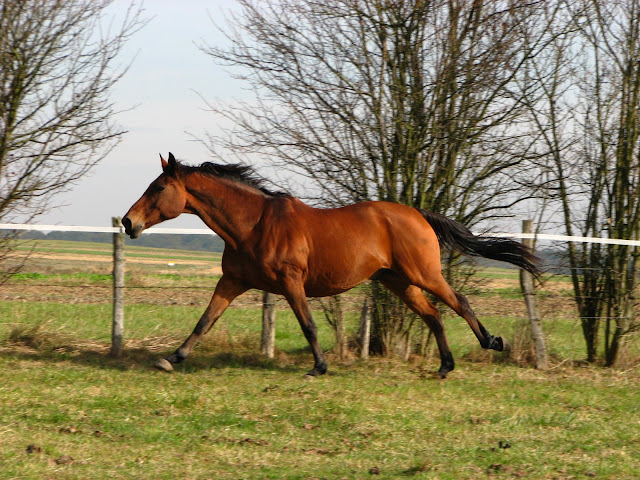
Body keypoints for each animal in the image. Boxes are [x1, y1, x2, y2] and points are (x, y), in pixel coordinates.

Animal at [122, 153, 539, 378]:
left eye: (159, 188)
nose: (128, 222)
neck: (254, 224)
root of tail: (418, 214)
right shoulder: (233, 281)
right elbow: (204, 321)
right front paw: (171, 359)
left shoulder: (291, 283)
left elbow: (308, 326)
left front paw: (318, 367)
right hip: (397, 281)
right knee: (434, 315)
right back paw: (445, 367)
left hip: (422, 274)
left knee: (458, 302)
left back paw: (491, 342)